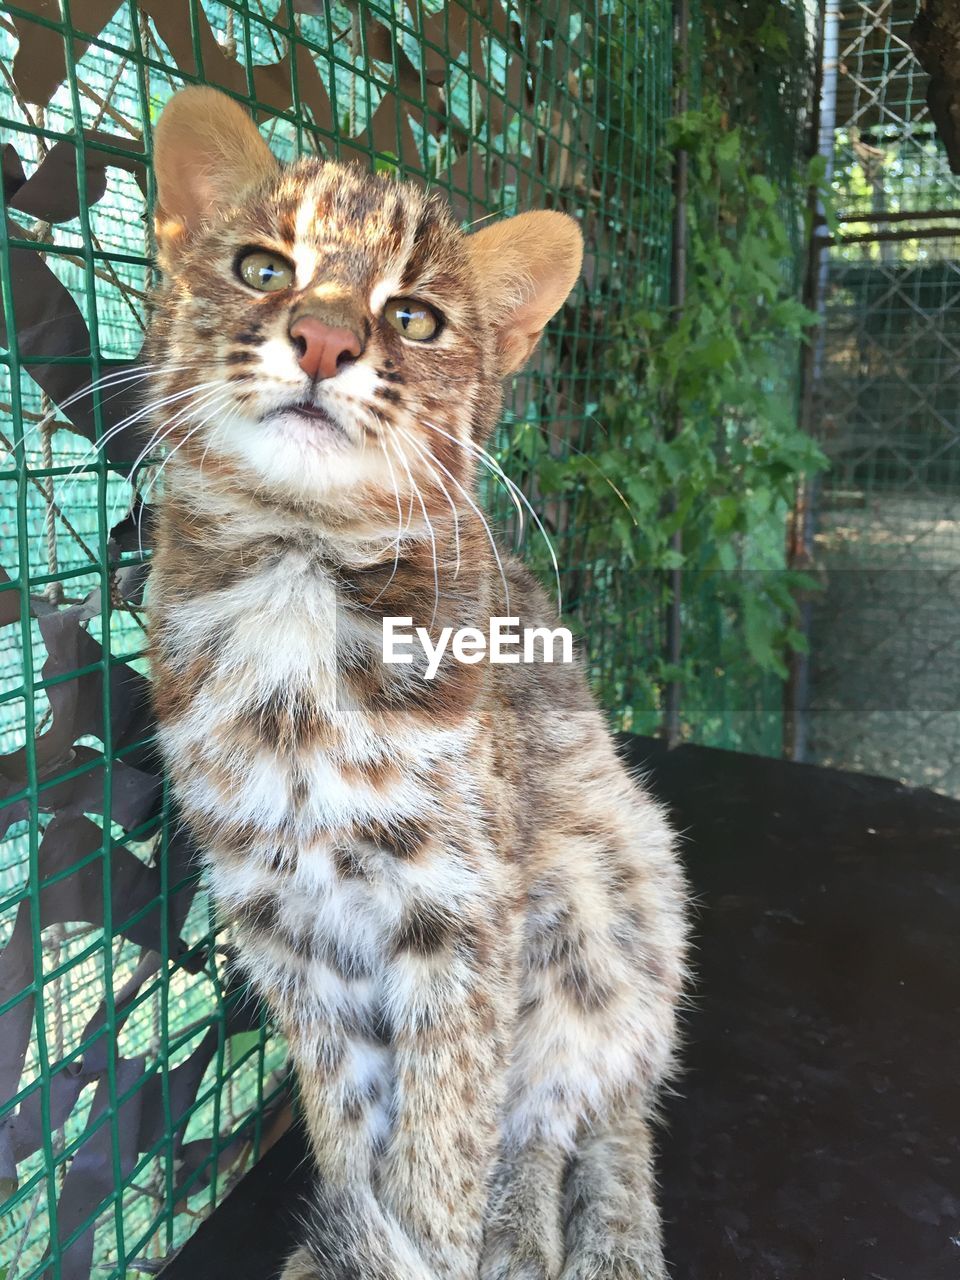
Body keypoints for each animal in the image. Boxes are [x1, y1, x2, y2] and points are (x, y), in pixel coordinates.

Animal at [144, 85, 691, 1274]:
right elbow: (349, 1116)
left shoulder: (461, 908)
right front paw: (359, 1227)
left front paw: (435, 1242)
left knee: (581, 1110)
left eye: (416, 320)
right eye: (262, 268)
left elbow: (452, 1124)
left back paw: (549, 1232)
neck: (297, 567)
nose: (324, 337)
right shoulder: (282, 913)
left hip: (603, 889)